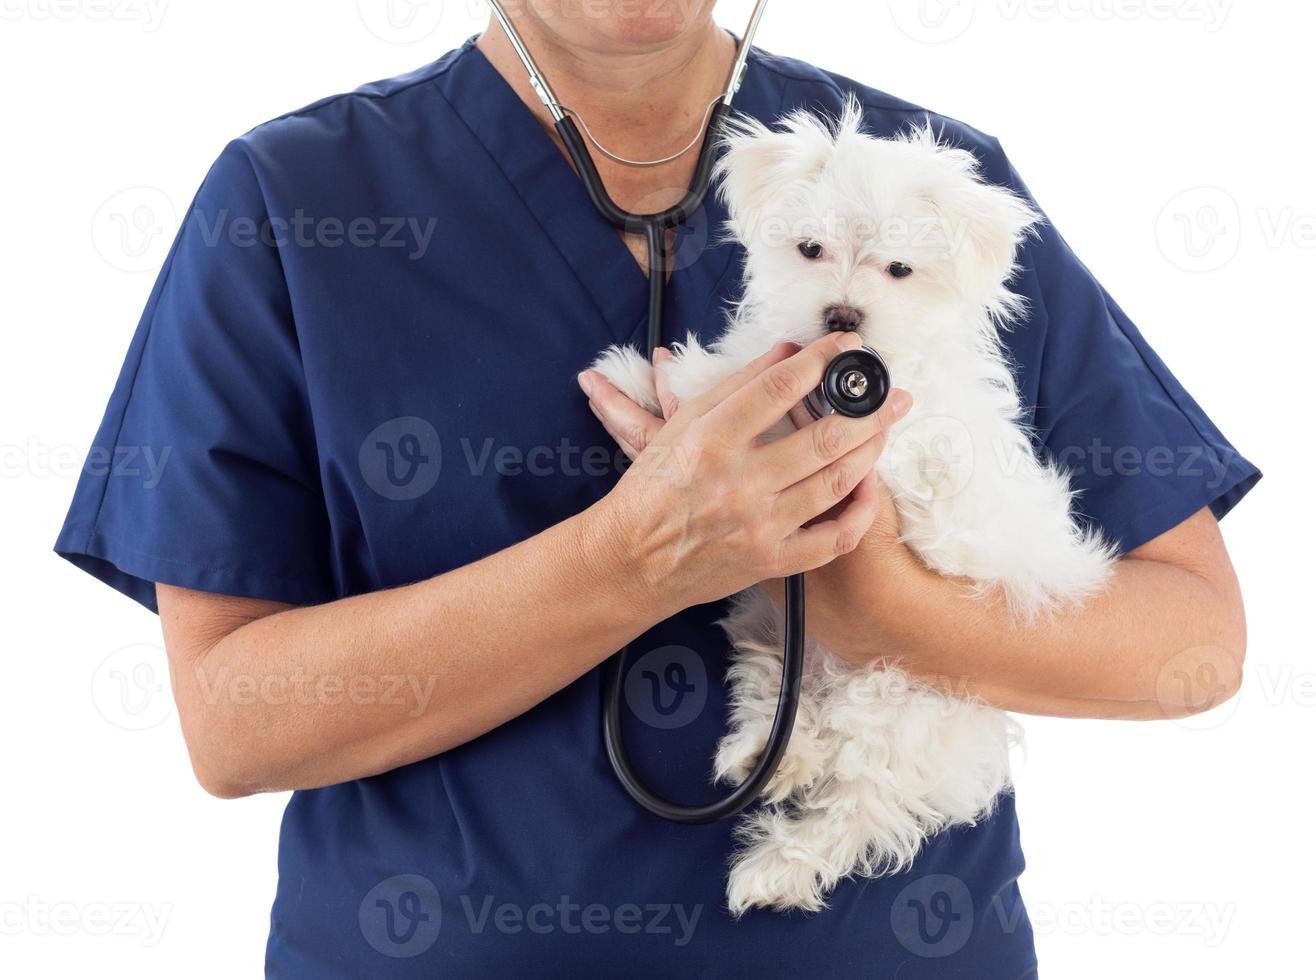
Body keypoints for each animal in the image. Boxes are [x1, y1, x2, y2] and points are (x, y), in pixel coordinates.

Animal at [592, 103, 1115, 915]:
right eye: (811, 249)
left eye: (899, 269)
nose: (842, 313)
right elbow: (741, 373)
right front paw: (646, 382)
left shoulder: (896, 448)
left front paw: (667, 383)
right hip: (774, 632)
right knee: (785, 706)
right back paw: (767, 756)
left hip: (897, 700)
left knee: (859, 801)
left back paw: (776, 868)